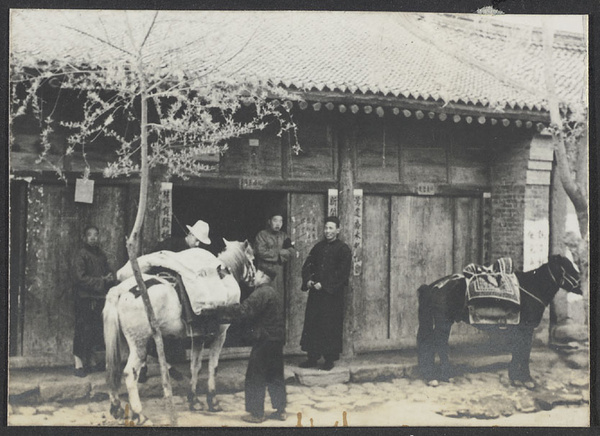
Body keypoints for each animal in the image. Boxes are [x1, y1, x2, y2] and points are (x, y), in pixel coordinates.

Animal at [104, 240, 254, 424]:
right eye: (252, 259)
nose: (256, 278)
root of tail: (121, 291)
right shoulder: (220, 335)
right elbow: (213, 366)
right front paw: (213, 401)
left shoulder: (198, 337)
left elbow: (195, 367)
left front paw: (194, 400)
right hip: (140, 344)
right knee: (129, 374)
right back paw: (140, 414)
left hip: (121, 343)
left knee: (111, 369)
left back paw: (116, 407)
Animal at [418, 254, 580, 390]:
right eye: (567, 267)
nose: (580, 286)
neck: (533, 285)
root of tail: (434, 286)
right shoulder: (527, 328)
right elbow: (525, 352)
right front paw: (527, 379)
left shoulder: (519, 329)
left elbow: (517, 350)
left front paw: (515, 377)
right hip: (443, 322)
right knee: (436, 344)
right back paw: (439, 376)